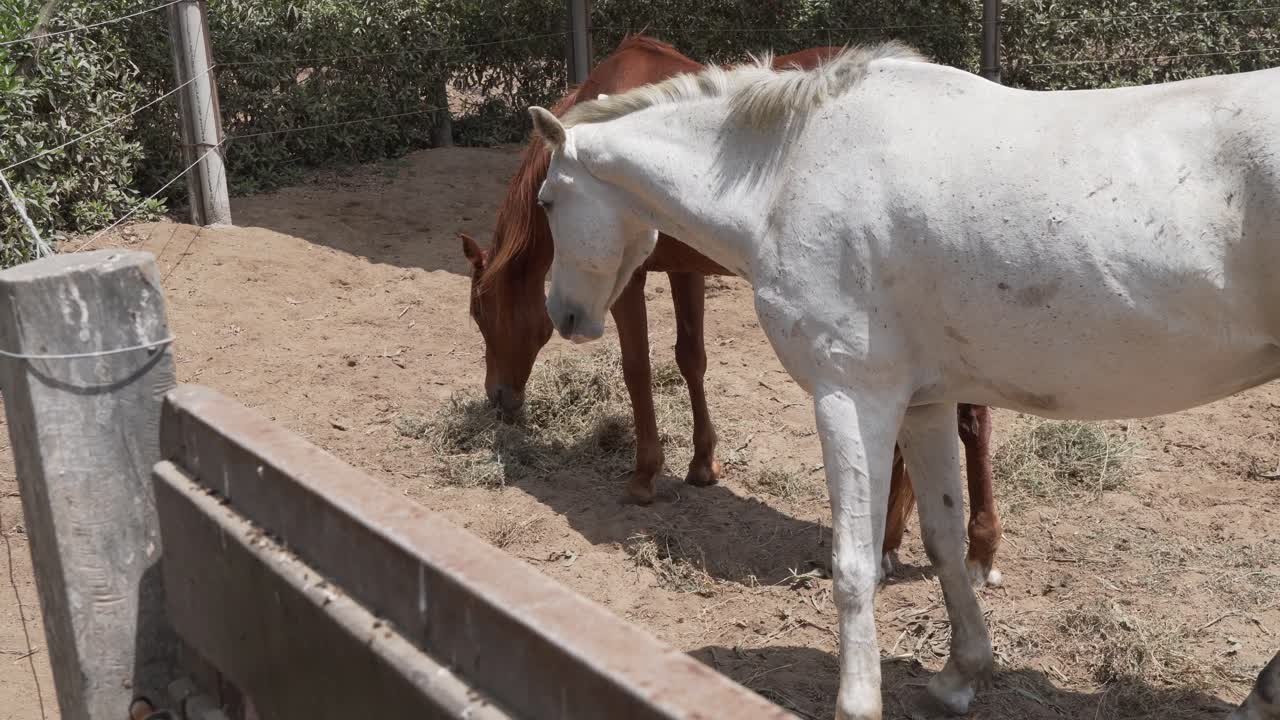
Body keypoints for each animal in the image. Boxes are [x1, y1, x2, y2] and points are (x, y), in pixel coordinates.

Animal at [461, 34, 1004, 587]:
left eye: (481, 315)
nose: (497, 398)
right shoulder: (685, 271)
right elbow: (691, 359)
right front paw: (702, 464)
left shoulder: (632, 280)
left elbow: (638, 370)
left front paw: (644, 475)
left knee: (969, 422)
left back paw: (969, 548)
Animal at [525, 42, 1280, 720]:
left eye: (549, 201)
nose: (564, 314)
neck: (791, 173)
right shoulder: (925, 403)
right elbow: (942, 540)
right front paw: (960, 675)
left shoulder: (851, 397)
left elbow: (854, 564)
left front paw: (857, 703)